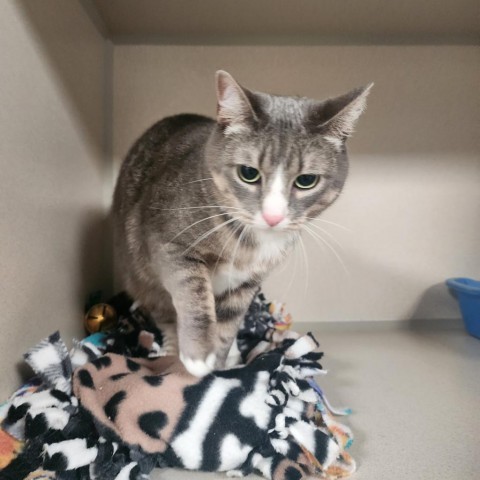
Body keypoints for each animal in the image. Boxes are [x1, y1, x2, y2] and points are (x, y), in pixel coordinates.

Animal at [111, 70, 372, 376]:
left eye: (307, 180)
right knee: (164, 312)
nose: (273, 216)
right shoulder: (168, 242)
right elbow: (192, 290)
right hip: (141, 276)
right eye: (248, 173)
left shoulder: (247, 284)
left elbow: (228, 324)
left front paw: (219, 365)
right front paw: (199, 356)